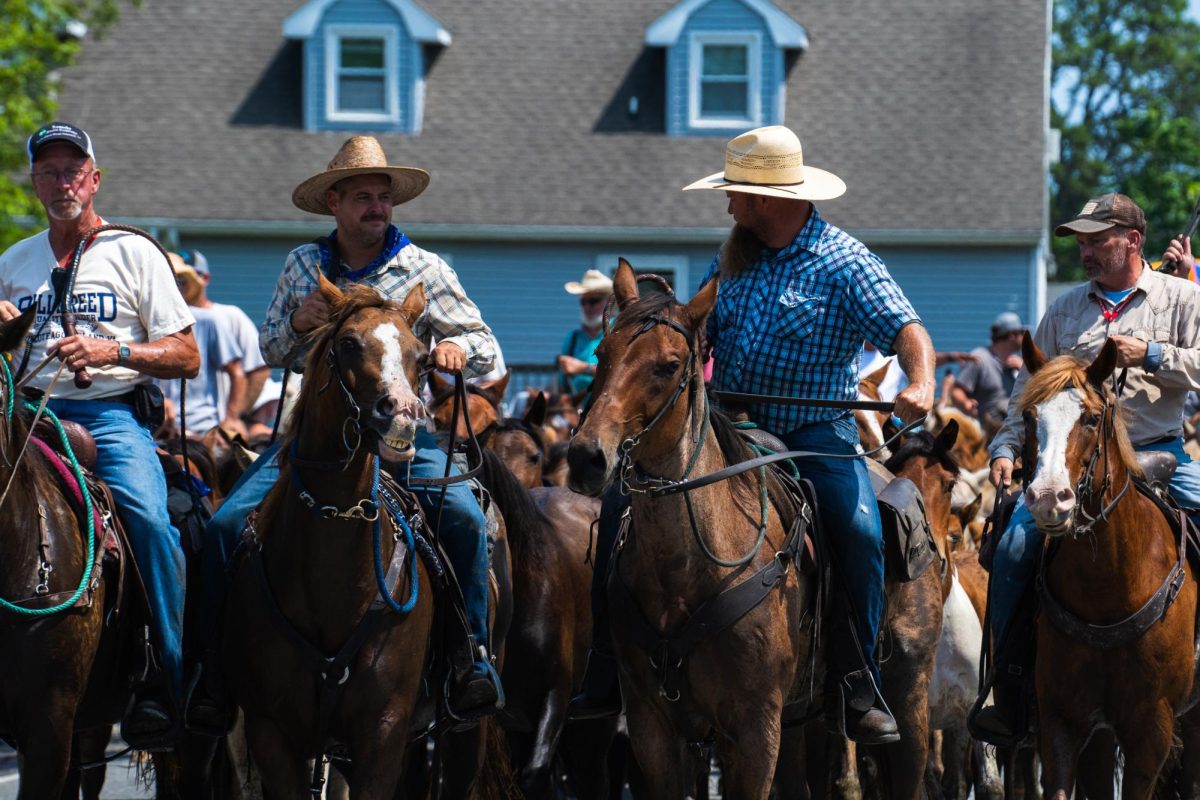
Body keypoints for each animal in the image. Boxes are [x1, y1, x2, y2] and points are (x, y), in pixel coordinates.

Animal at [564, 261, 811, 796]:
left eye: (669, 365)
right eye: (602, 353)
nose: (586, 457)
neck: (685, 570)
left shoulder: (756, 732)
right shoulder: (651, 728)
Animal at [1017, 335, 1200, 796]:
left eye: (1091, 418)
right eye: (1029, 416)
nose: (1049, 498)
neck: (1108, 587)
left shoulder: (1152, 729)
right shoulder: (1062, 719)